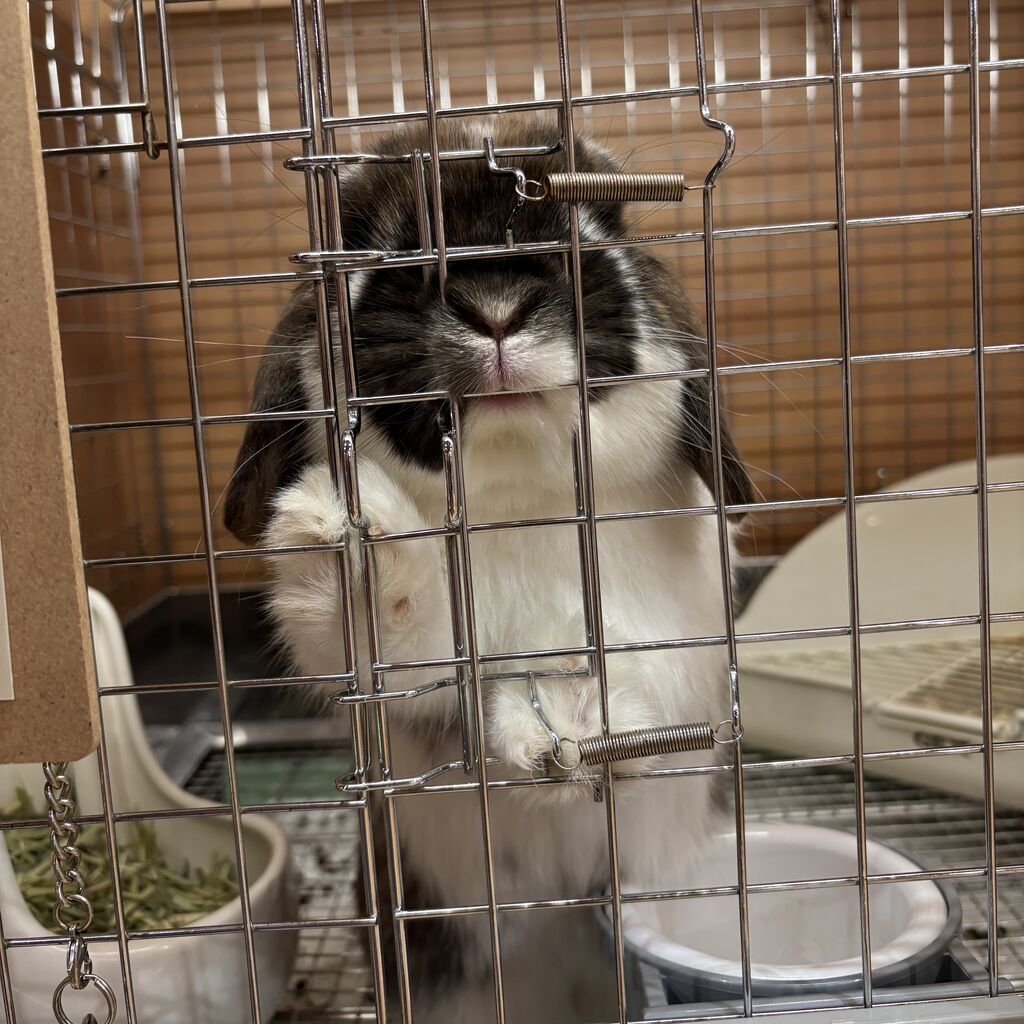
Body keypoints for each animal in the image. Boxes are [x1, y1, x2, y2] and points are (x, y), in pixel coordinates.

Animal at [225, 118, 753, 1024]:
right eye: (379, 250)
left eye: (596, 233)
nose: (496, 308)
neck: (520, 501)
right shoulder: (413, 674)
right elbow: (397, 647)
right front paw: (347, 536)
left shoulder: (684, 632)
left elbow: (640, 676)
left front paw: (575, 725)